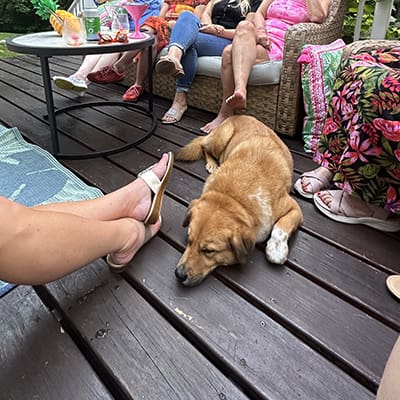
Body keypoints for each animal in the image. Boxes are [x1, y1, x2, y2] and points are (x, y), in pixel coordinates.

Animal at [175, 114, 304, 286]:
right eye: (189, 240)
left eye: (209, 251)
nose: (178, 274)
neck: (232, 198)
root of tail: (237, 115)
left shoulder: (294, 208)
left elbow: (281, 226)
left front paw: (276, 249)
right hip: (220, 138)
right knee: (203, 146)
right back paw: (212, 163)